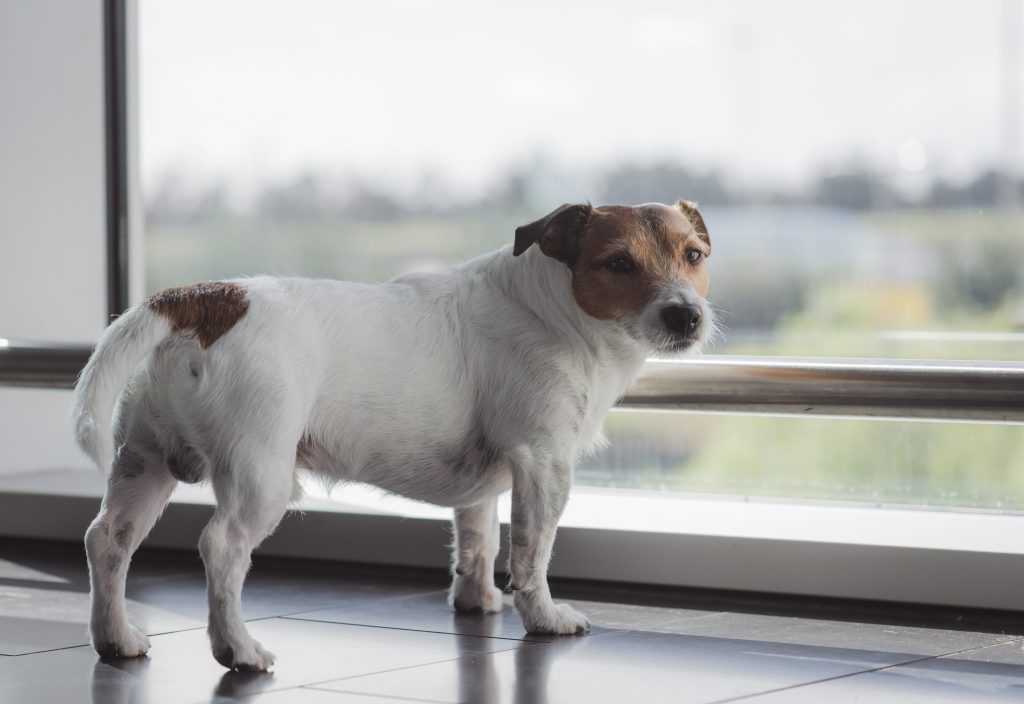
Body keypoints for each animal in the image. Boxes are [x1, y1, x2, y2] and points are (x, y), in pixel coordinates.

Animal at [72, 199, 716, 671]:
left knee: (107, 539)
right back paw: (239, 650)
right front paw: (545, 618)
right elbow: (532, 554)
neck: (551, 309)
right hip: (260, 477)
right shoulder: (544, 463)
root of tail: (201, 299)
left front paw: (477, 602)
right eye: (619, 264)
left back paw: (116, 638)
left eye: (694, 255)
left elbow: (478, 540)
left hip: (143, 463)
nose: (686, 316)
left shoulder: (487, 484)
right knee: (221, 548)